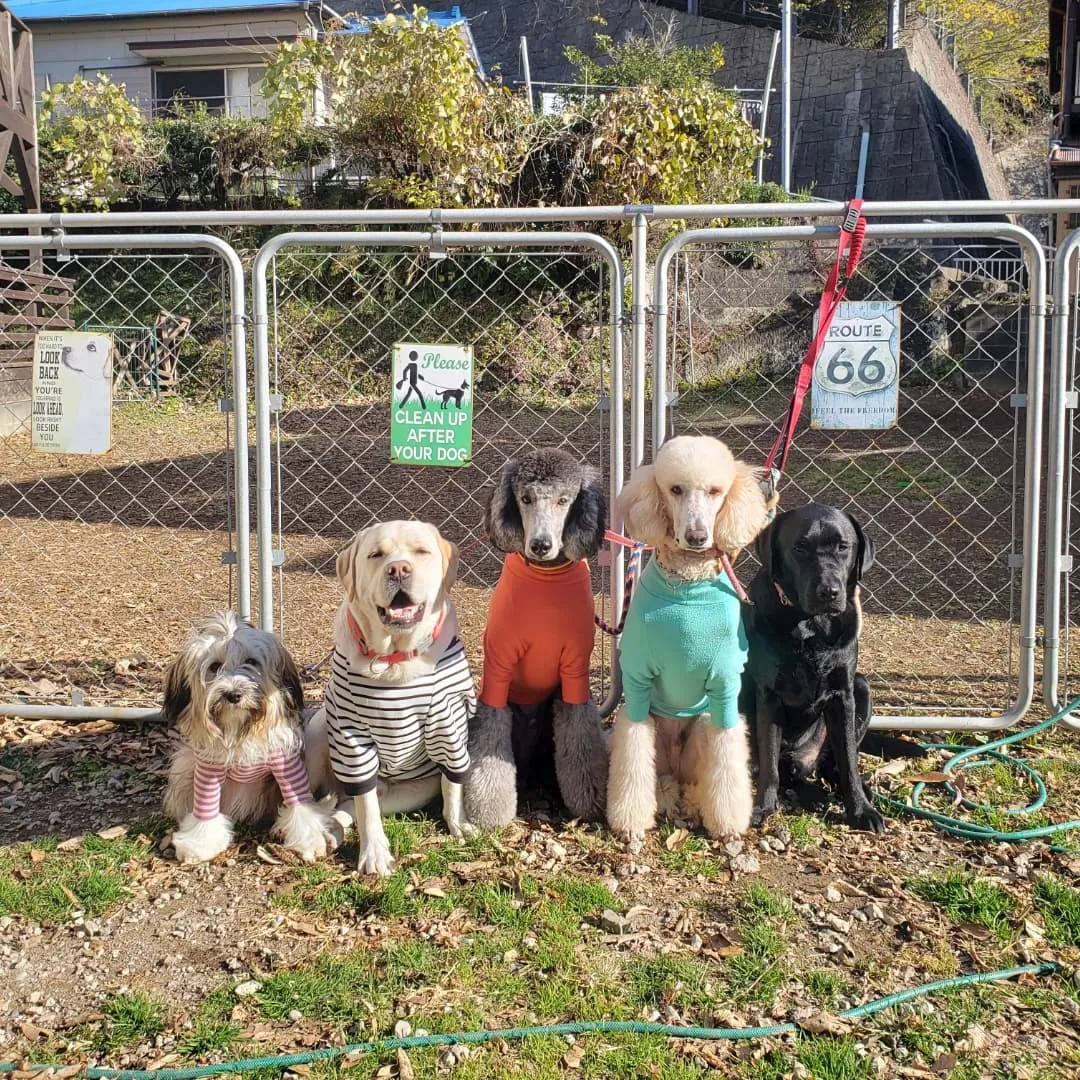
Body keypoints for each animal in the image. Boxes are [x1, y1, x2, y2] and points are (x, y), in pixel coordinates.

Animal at [158, 613, 336, 864]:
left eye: (251, 662)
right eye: (215, 666)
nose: (233, 694)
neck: (241, 730)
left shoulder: (286, 764)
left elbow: (301, 806)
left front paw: (308, 841)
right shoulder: (208, 769)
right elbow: (205, 810)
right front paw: (200, 844)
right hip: (185, 764)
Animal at [304, 522, 473, 876]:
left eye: (421, 551)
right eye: (376, 555)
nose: (399, 569)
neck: (393, 660)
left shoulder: (448, 721)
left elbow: (453, 783)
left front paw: (458, 824)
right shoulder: (351, 733)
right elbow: (366, 805)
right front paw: (374, 854)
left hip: (414, 791)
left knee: (350, 804)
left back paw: (334, 827)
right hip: (318, 729)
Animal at [466, 447, 613, 825]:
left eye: (564, 500)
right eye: (526, 498)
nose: (541, 545)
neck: (546, 577)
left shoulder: (574, 674)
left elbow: (580, 737)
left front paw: (590, 800)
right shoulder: (498, 672)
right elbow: (489, 741)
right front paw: (490, 809)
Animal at [609, 436, 768, 842]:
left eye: (715, 491)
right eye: (675, 489)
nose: (697, 536)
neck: (687, 585)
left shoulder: (726, 685)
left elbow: (729, 756)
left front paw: (728, 824)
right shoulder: (636, 682)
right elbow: (633, 751)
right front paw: (630, 822)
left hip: (701, 727)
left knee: (697, 780)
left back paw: (696, 804)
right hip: (660, 743)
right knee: (661, 779)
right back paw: (665, 798)